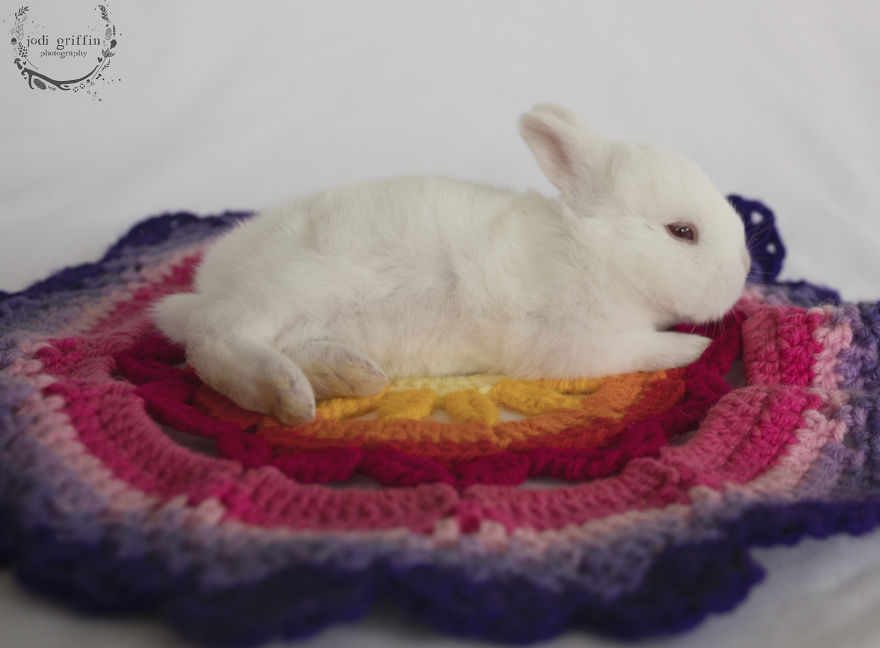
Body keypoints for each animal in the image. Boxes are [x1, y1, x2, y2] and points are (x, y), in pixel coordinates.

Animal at [152, 103, 750, 425]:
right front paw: (691, 349)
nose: (744, 269)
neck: (591, 251)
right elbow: (638, 348)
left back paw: (351, 375)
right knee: (214, 341)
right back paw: (289, 397)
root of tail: (208, 287)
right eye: (682, 232)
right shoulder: (576, 343)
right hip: (278, 293)